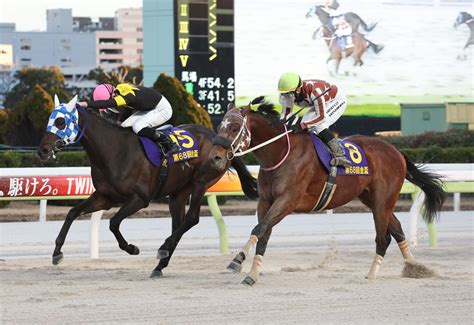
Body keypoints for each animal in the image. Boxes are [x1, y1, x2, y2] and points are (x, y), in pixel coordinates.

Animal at [38, 95, 258, 278]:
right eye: (49, 119)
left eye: (60, 121)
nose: (43, 150)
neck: (114, 150)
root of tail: (223, 142)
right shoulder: (105, 197)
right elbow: (72, 213)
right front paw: (57, 252)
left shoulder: (140, 199)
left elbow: (113, 223)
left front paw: (132, 248)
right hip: (178, 192)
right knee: (178, 224)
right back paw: (160, 265)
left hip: (202, 181)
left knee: (191, 218)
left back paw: (163, 248)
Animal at [209, 97, 446, 284]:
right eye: (220, 127)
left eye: (234, 127)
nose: (216, 157)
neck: (280, 153)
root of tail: (396, 151)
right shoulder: (266, 201)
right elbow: (263, 233)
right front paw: (252, 274)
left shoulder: (288, 201)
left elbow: (259, 229)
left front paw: (236, 260)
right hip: (373, 199)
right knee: (397, 231)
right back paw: (415, 268)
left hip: (382, 200)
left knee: (383, 237)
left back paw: (372, 274)